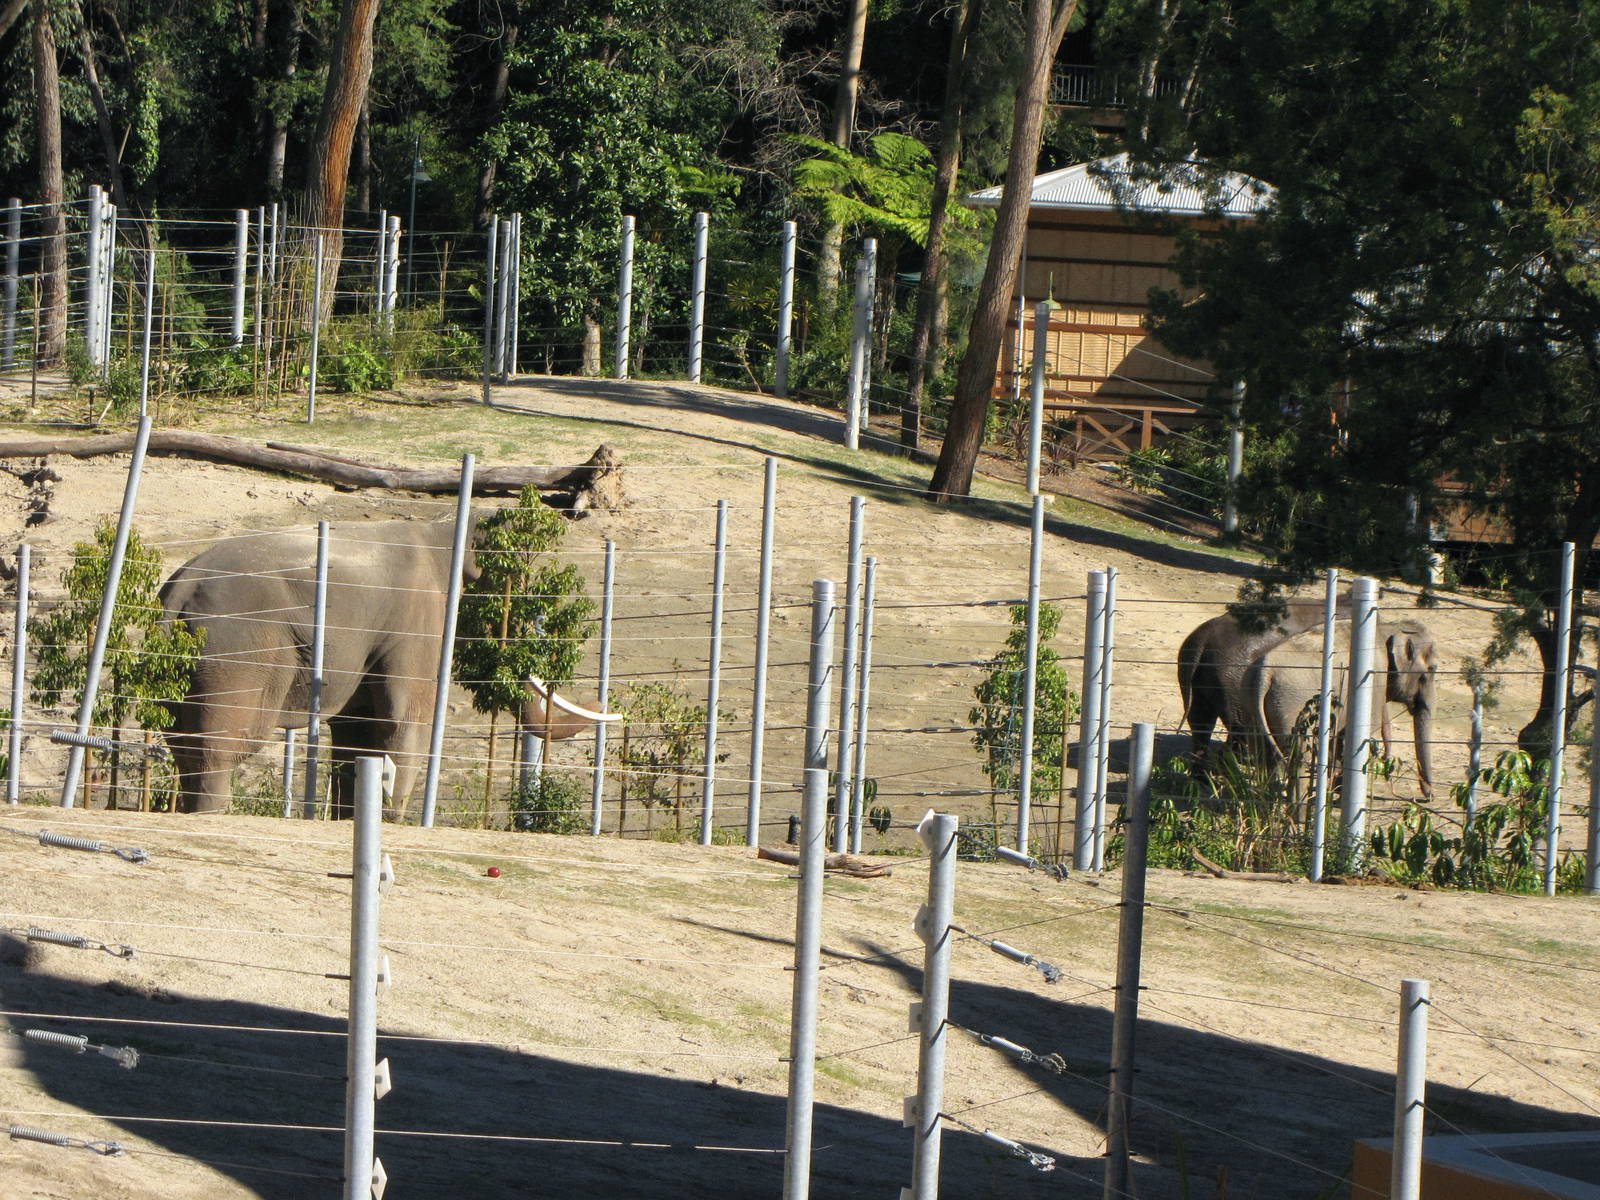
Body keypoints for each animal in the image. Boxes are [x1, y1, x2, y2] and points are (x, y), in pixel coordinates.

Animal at [160, 518, 480, 819]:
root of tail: (184, 583)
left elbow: (356, 727)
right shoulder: (416, 615)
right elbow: (404, 715)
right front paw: (388, 819)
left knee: (181, 744)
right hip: (236, 649)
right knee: (221, 746)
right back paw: (210, 812)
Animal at [1247, 618, 1438, 796]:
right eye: (1430, 672)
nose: (1430, 796)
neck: (1389, 627)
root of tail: (1265, 672)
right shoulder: (1373, 680)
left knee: (1266, 758)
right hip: (1293, 708)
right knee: (1299, 762)